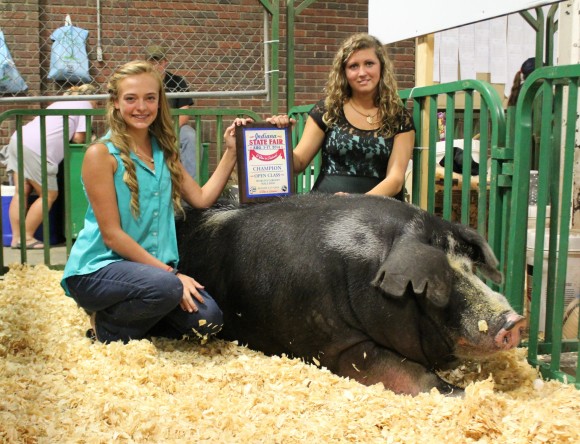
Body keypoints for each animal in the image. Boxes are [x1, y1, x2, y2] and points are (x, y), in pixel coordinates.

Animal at [177, 194, 524, 396]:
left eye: (471, 268)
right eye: (437, 282)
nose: (515, 321)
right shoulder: (337, 345)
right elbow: (413, 376)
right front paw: (465, 392)